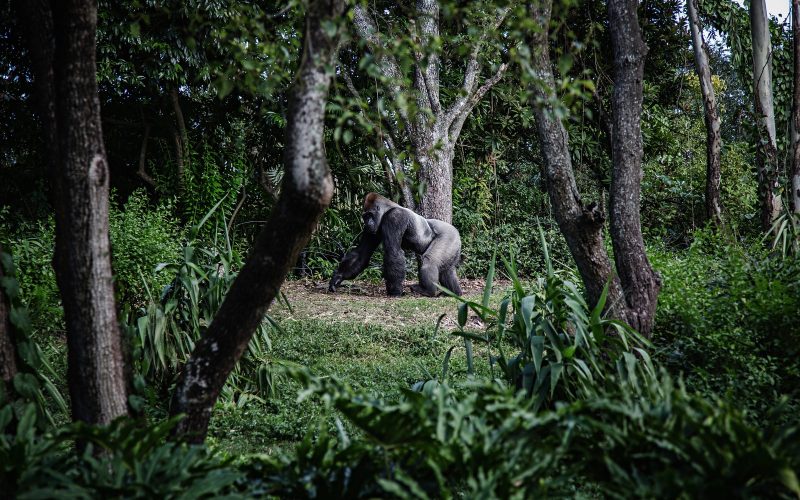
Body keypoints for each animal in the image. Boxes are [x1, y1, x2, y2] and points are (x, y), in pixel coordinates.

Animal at [326, 192, 462, 296]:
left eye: (370, 215)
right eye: (365, 216)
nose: (367, 223)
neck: (387, 209)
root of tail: (456, 232)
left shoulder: (394, 217)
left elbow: (392, 251)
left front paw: (395, 291)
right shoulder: (372, 230)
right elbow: (362, 253)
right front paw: (338, 277)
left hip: (449, 235)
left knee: (430, 261)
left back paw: (428, 291)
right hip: (454, 244)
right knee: (447, 270)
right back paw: (454, 293)